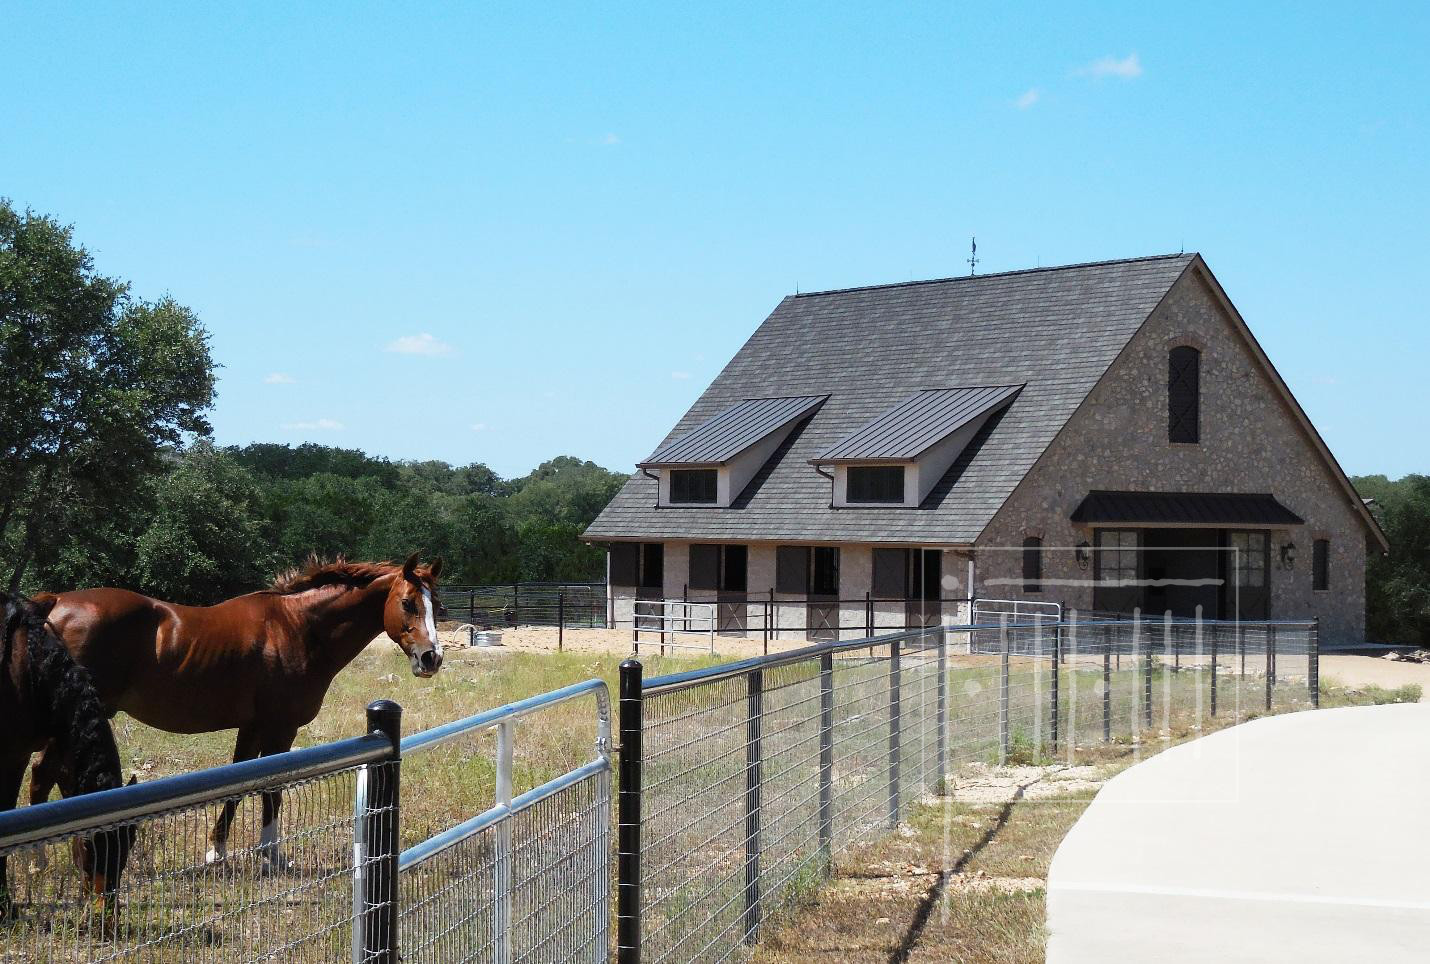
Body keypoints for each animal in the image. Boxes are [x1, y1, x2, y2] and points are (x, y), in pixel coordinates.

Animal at [36, 552, 443, 869]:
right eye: (408, 603)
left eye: (436, 606)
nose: (432, 658)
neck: (298, 627)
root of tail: (54, 606)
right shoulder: (280, 728)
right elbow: (271, 787)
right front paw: (272, 854)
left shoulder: (252, 727)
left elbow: (240, 782)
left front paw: (216, 850)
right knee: (43, 774)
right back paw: (38, 862)